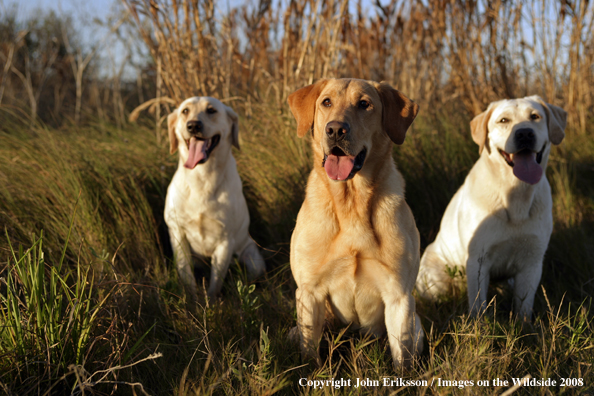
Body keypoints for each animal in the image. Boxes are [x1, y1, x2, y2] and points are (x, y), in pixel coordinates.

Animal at [162, 96, 264, 300]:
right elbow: (186, 275)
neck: (202, 177)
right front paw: (193, 301)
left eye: (211, 110)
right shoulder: (177, 233)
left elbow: (215, 283)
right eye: (185, 111)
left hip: (253, 260)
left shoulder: (225, 240)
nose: (193, 125)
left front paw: (211, 303)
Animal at [290, 77, 424, 368]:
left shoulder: (399, 296)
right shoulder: (309, 292)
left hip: (416, 324)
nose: (335, 130)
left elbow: (402, 358)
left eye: (364, 104)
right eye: (326, 102)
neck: (351, 202)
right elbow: (310, 354)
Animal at [414, 96, 568, 322]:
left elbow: (524, 306)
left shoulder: (532, 261)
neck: (515, 194)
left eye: (535, 116)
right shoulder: (478, 259)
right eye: (503, 120)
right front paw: (481, 326)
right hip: (435, 281)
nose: (524, 133)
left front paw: (524, 327)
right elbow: (478, 305)